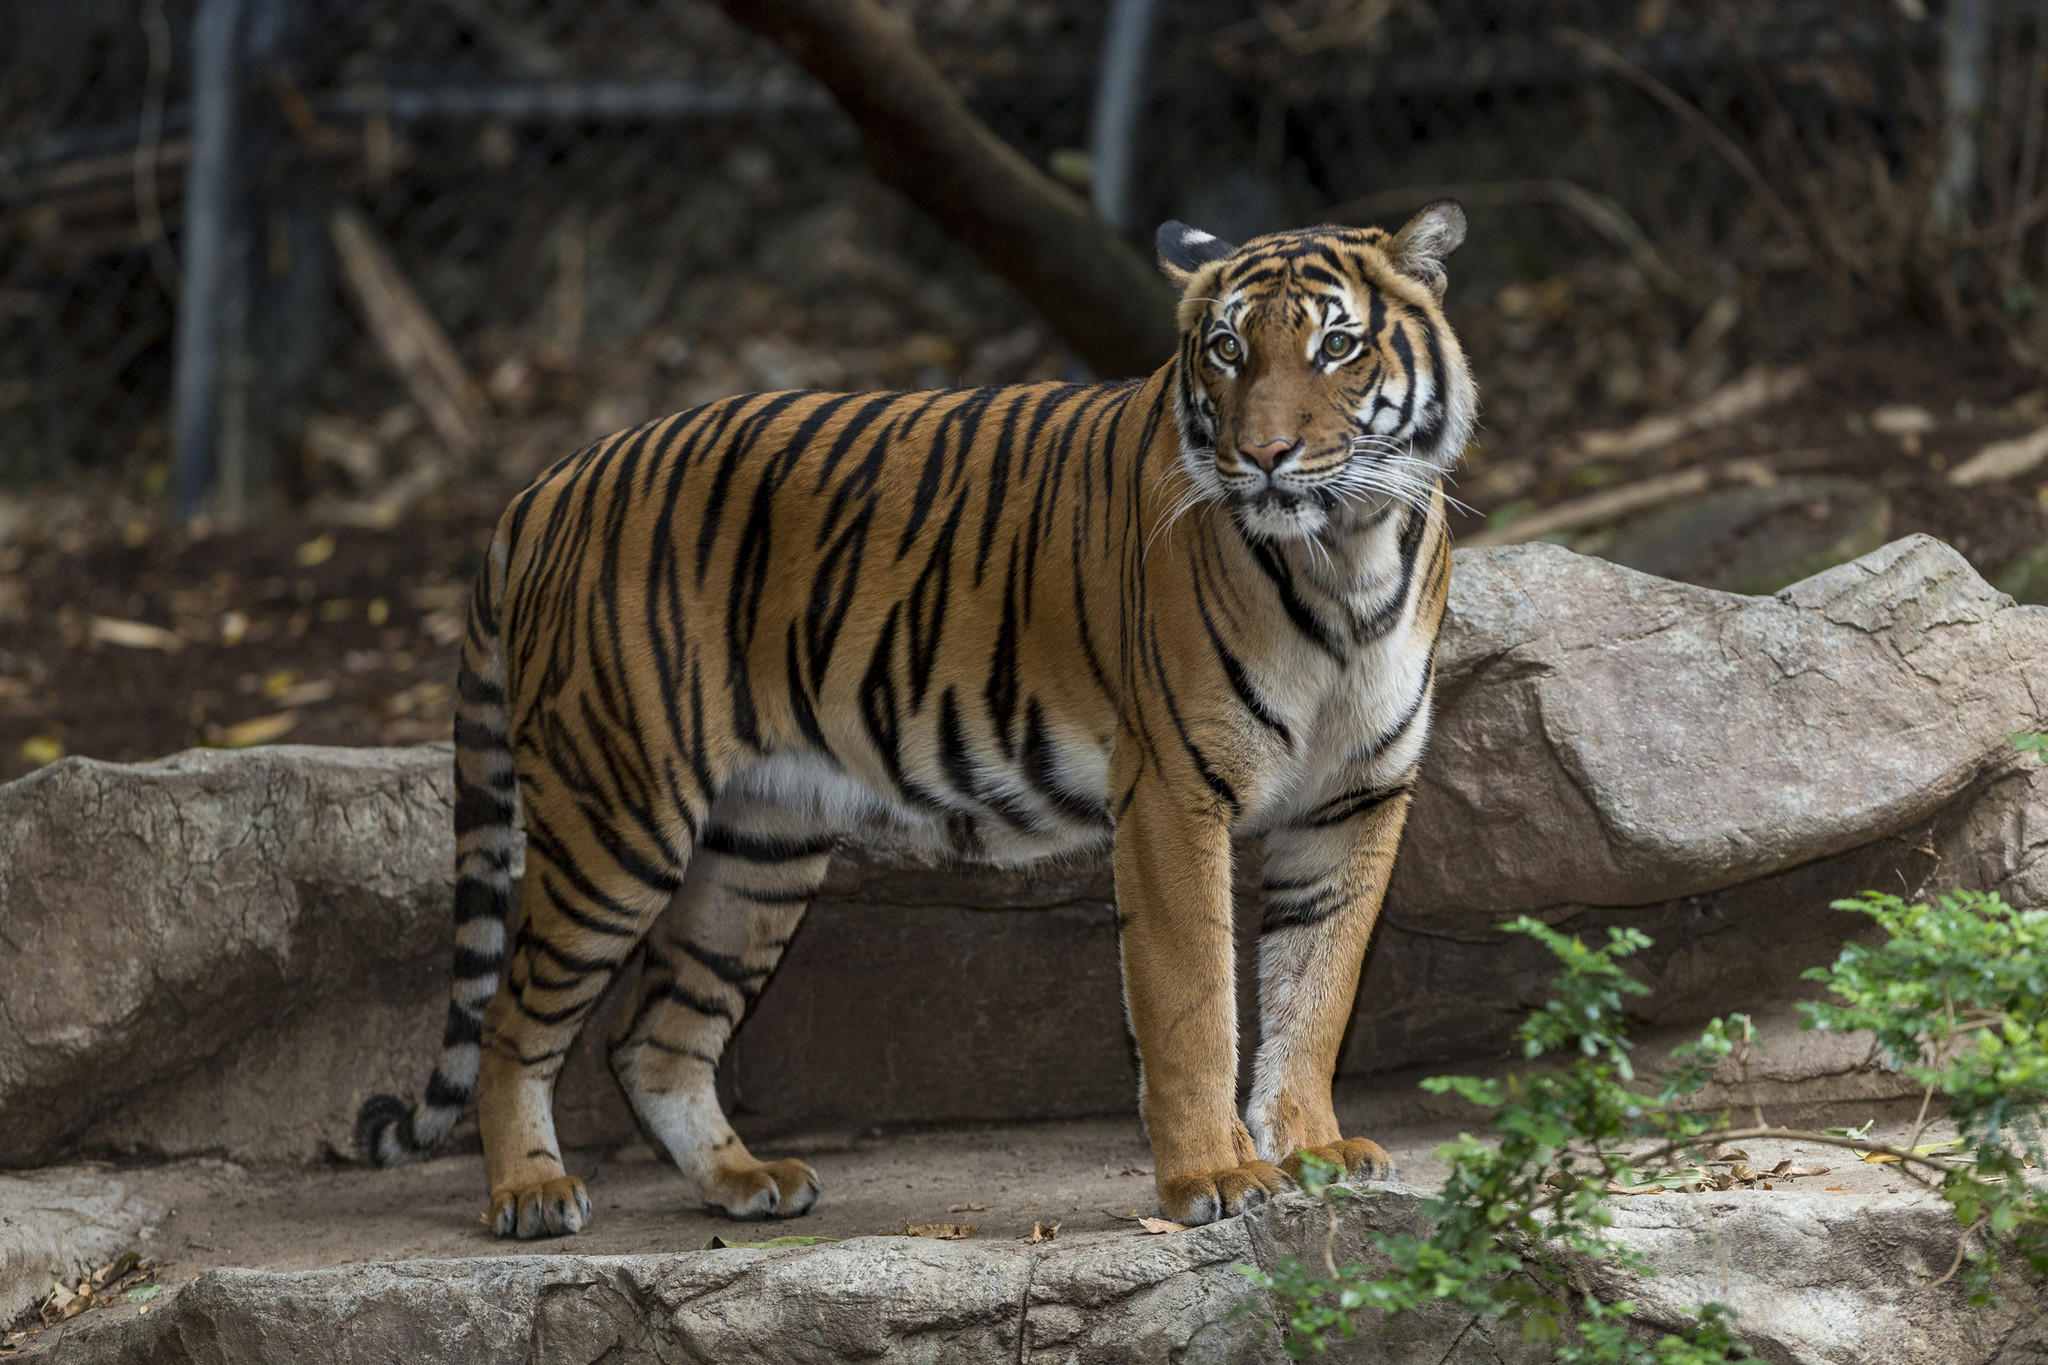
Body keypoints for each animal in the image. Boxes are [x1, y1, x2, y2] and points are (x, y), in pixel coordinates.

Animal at [352, 202, 1474, 1236]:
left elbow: (1316, 987)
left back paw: (745, 1180)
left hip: (760, 846)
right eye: (1228, 350)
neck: (1347, 559)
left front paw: (1314, 1151)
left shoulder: (1354, 798)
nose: (1265, 454)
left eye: (1337, 346)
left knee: (651, 1036)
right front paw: (1216, 1174)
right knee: (511, 1020)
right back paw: (529, 1192)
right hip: (617, 820)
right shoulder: (1172, 793)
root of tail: (541, 487)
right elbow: (1194, 995)